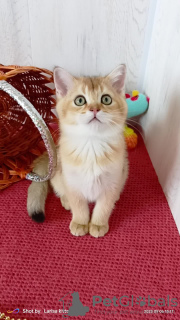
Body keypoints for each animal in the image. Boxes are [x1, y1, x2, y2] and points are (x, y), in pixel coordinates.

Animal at [27, 64, 128, 238]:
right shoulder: (72, 183)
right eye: (80, 100)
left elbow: (103, 207)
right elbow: (79, 206)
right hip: (58, 175)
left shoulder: (112, 182)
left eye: (106, 99)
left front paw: (98, 224)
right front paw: (80, 222)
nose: (94, 109)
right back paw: (66, 201)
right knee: (60, 191)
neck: (92, 145)